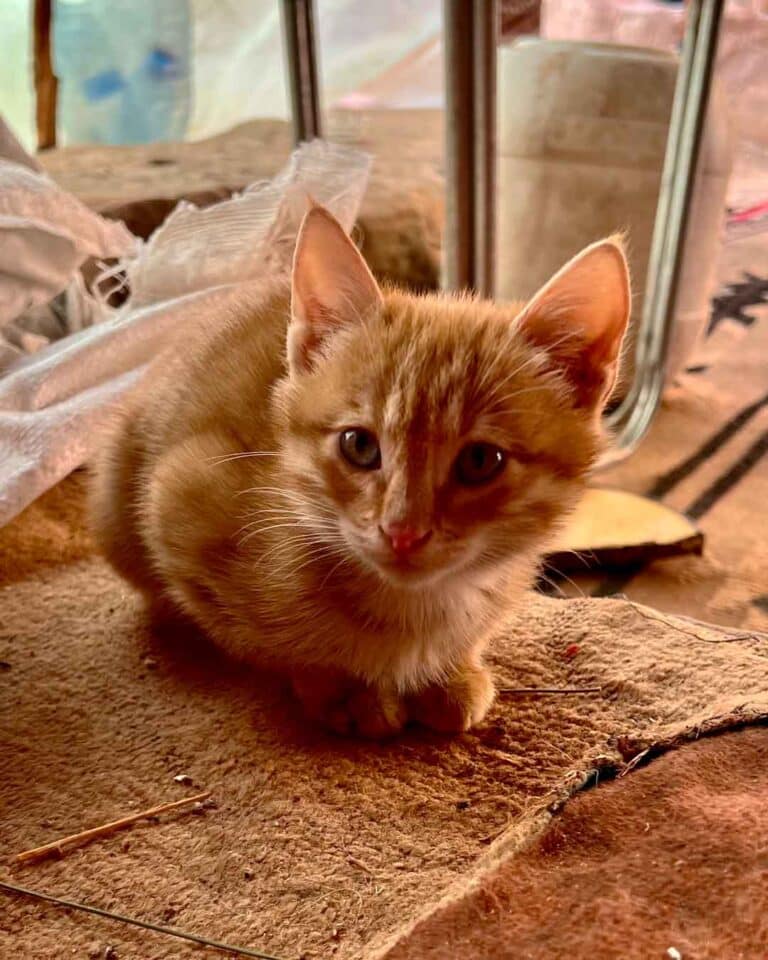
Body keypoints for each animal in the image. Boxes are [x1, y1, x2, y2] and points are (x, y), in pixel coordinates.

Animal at [91, 206, 632, 740]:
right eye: (360, 445)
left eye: (481, 461)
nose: (403, 532)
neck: (415, 609)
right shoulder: (178, 494)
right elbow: (264, 644)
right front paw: (346, 687)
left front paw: (452, 671)